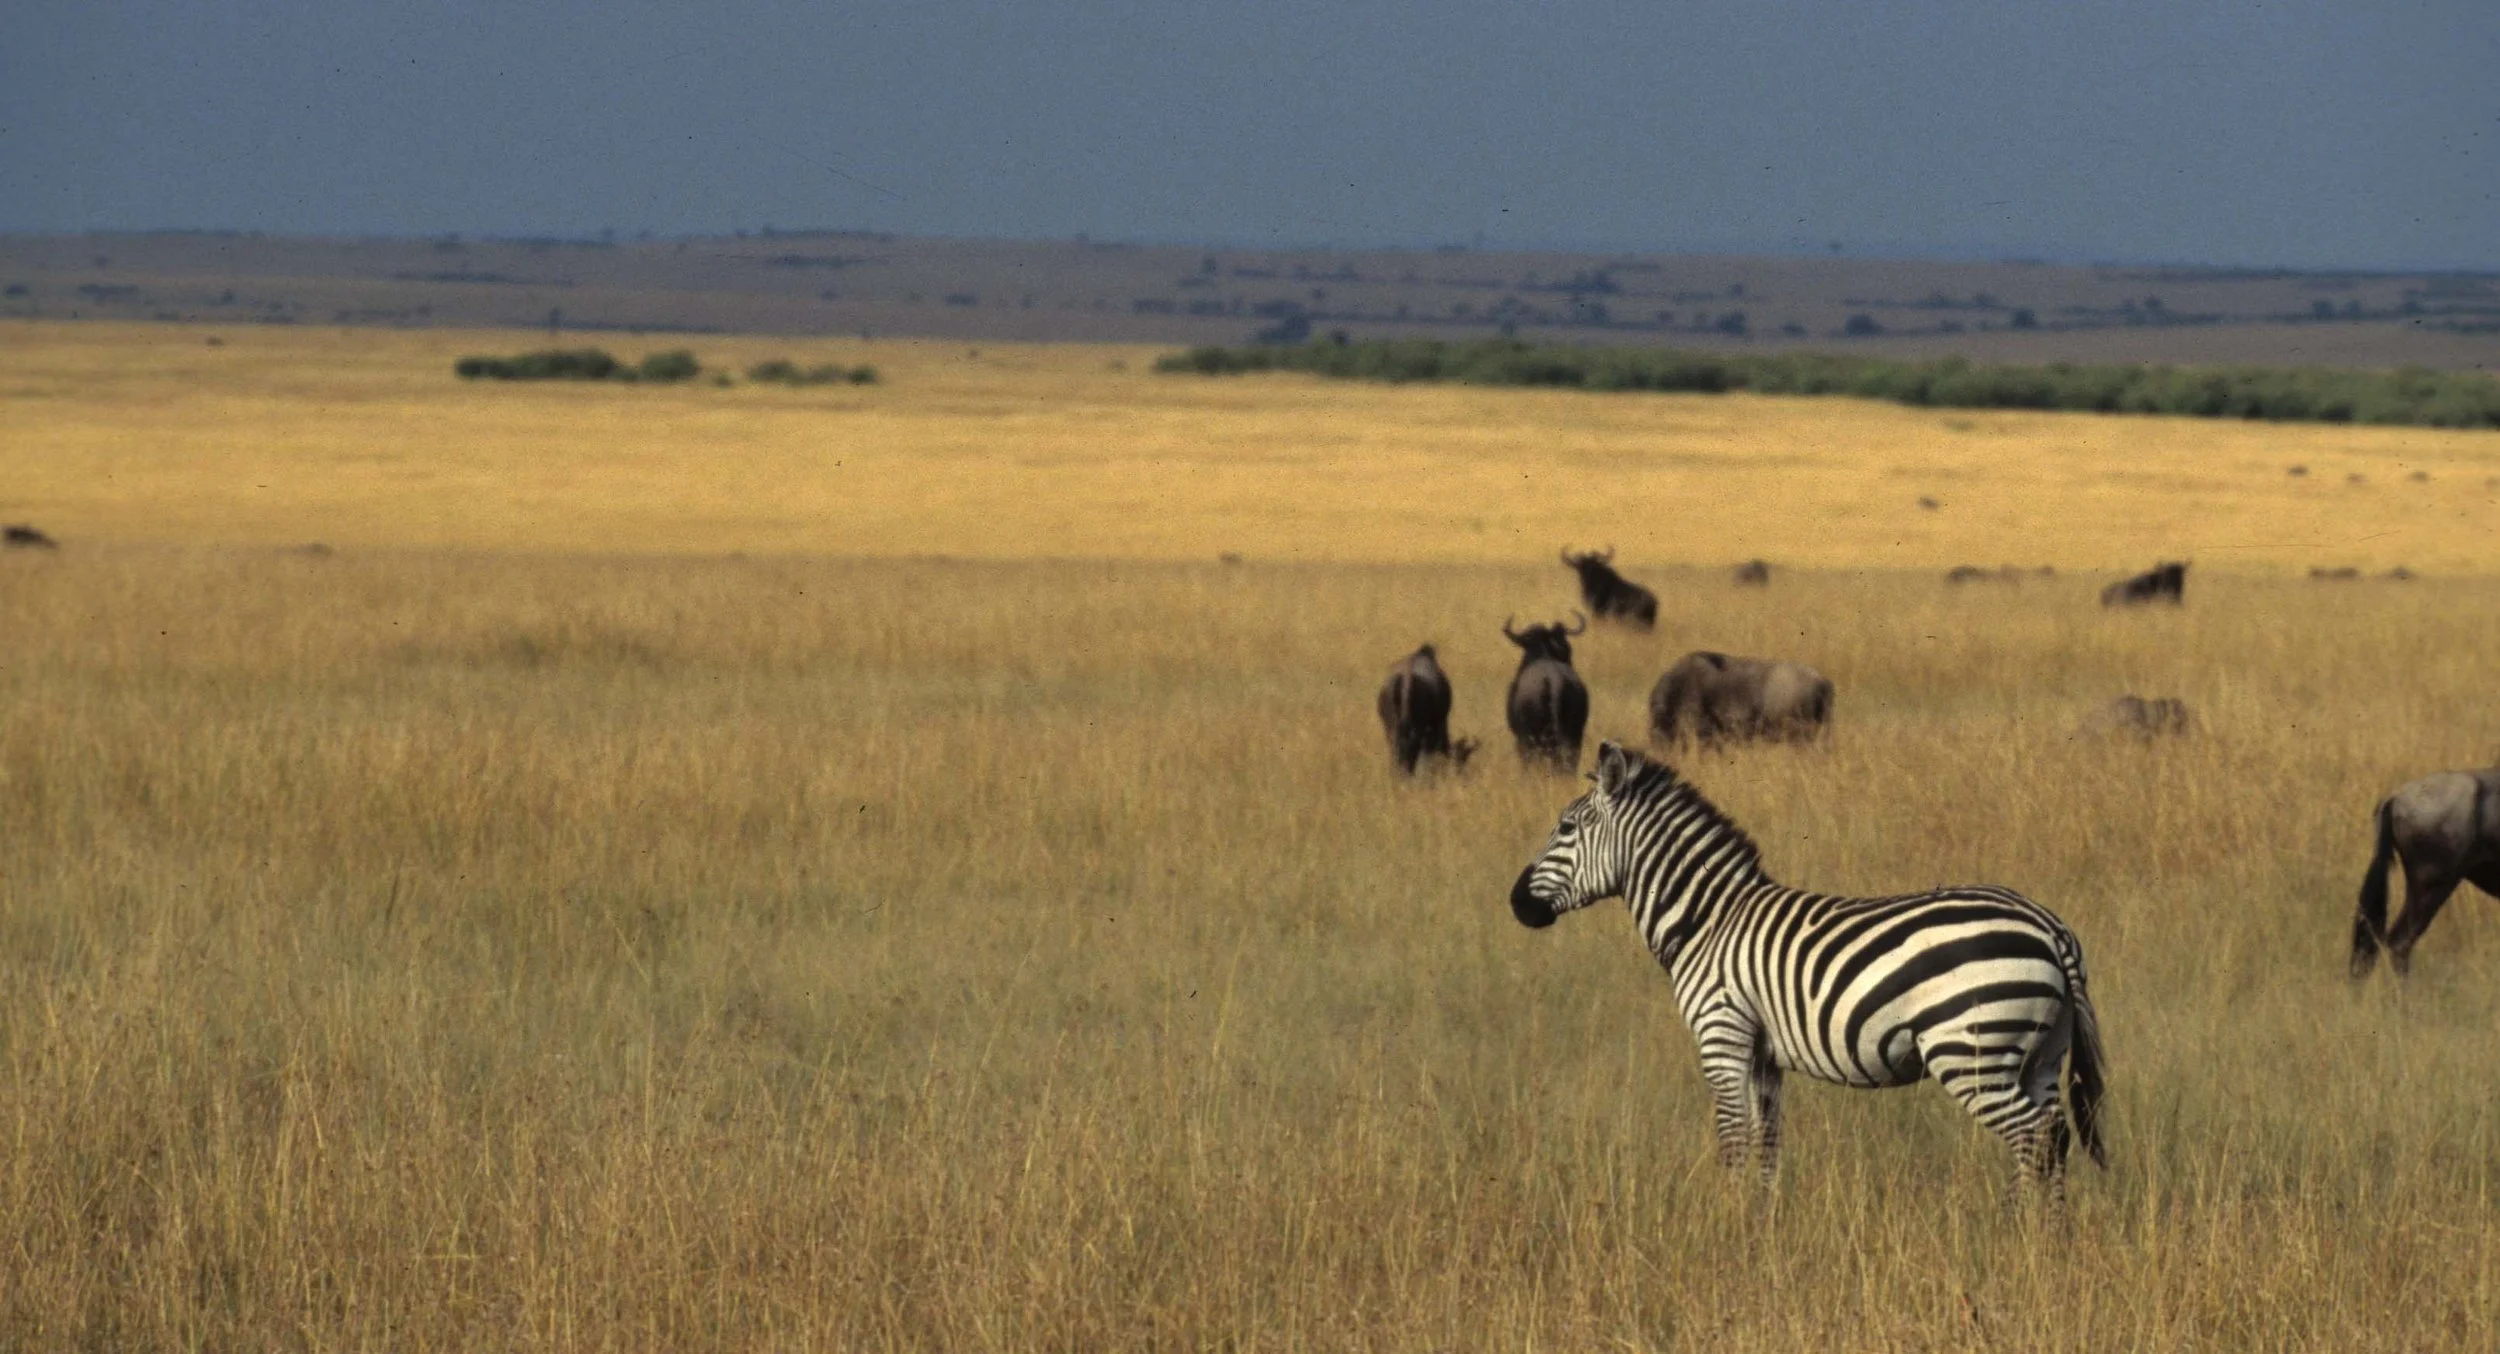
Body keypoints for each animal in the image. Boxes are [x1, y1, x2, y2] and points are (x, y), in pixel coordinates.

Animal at [1508, 741, 2107, 1203]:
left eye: (1565, 827)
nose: (1516, 903)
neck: (1708, 920)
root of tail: (2049, 927)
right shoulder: (1763, 1055)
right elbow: (1766, 1144)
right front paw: (1760, 1223)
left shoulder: (1721, 1036)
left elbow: (1732, 1141)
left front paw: (1723, 1226)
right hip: (2041, 1053)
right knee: (2055, 1135)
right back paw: (2050, 1241)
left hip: (1969, 1050)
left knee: (2035, 1135)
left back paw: (2017, 1229)